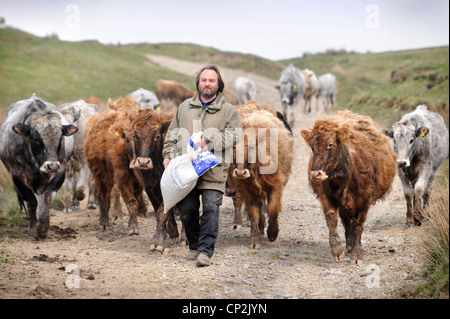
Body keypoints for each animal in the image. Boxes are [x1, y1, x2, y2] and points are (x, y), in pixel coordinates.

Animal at [0, 95, 78, 240]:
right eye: (36, 140)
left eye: (60, 139)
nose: (51, 166)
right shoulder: (17, 174)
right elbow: (30, 202)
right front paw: (33, 229)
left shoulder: (61, 169)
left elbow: (47, 198)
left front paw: (42, 228)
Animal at [227, 102, 294, 250]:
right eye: (233, 149)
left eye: (252, 147)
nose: (240, 173)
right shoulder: (247, 191)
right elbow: (254, 214)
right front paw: (255, 239)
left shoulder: (276, 186)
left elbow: (272, 210)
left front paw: (272, 233)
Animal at [300, 112, 396, 264]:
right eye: (312, 147)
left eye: (330, 144)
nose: (315, 174)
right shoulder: (325, 195)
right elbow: (332, 220)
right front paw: (337, 251)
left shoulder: (364, 200)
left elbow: (358, 226)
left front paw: (357, 255)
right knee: (345, 220)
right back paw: (349, 245)